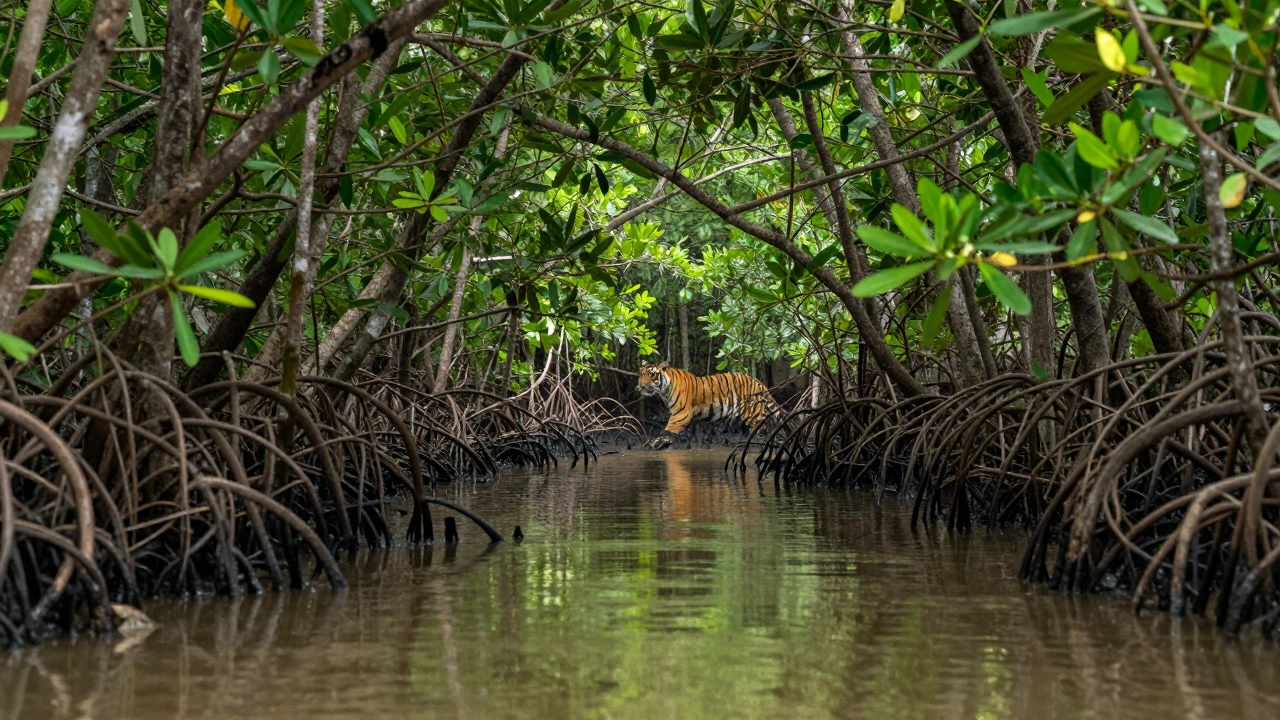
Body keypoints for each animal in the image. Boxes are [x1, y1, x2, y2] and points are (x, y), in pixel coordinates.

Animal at [637, 360, 780, 448]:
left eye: (651, 374)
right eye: (642, 374)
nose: (641, 386)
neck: (664, 391)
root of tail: (757, 382)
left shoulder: (681, 413)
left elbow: (667, 431)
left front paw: (653, 444)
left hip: (751, 412)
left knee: (761, 427)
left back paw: (755, 442)